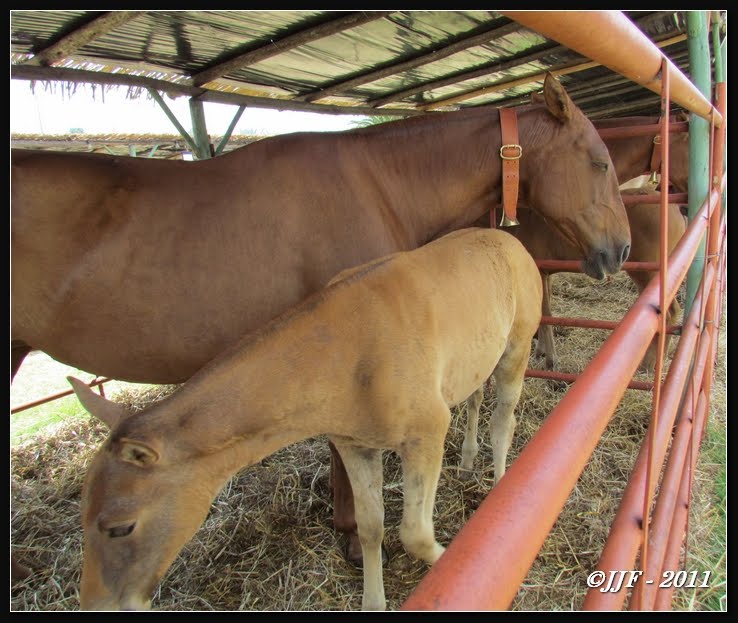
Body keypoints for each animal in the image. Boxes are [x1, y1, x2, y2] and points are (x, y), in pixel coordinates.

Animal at [69, 227, 543, 611]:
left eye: (119, 528)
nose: (97, 605)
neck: (349, 358)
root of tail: (511, 238)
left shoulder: (425, 432)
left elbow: (416, 534)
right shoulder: (354, 444)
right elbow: (371, 527)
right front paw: (373, 601)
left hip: (517, 347)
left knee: (504, 421)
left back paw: (502, 490)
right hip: (476, 360)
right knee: (475, 398)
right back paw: (466, 459)